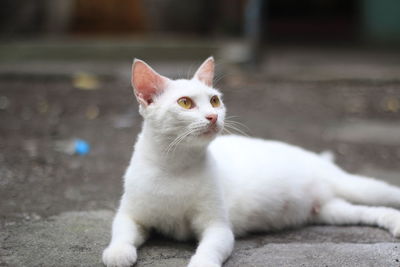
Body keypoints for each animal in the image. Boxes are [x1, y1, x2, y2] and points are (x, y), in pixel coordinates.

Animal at [102, 57, 400, 266]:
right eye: (185, 103)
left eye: (214, 100)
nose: (213, 116)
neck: (174, 166)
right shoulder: (130, 214)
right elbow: (121, 231)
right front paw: (117, 253)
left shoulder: (218, 227)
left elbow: (209, 249)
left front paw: (201, 263)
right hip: (331, 211)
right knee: (367, 212)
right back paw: (393, 222)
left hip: (355, 186)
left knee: (386, 194)